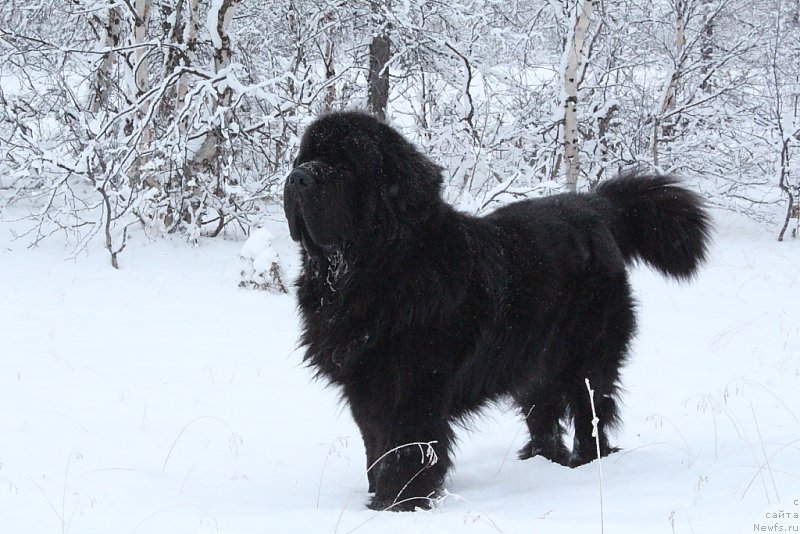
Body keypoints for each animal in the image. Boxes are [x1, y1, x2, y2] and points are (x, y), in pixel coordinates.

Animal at [284, 111, 708, 512]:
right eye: (304, 157)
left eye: (343, 164)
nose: (297, 178)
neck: (374, 271)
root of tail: (594, 206)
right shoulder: (365, 388)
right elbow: (376, 447)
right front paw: (378, 498)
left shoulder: (414, 389)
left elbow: (405, 451)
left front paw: (398, 505)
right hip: (536, 360)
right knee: (544, 413)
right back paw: (541, 461)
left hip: (587, 357)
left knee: (591, 413)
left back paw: (586, 466)